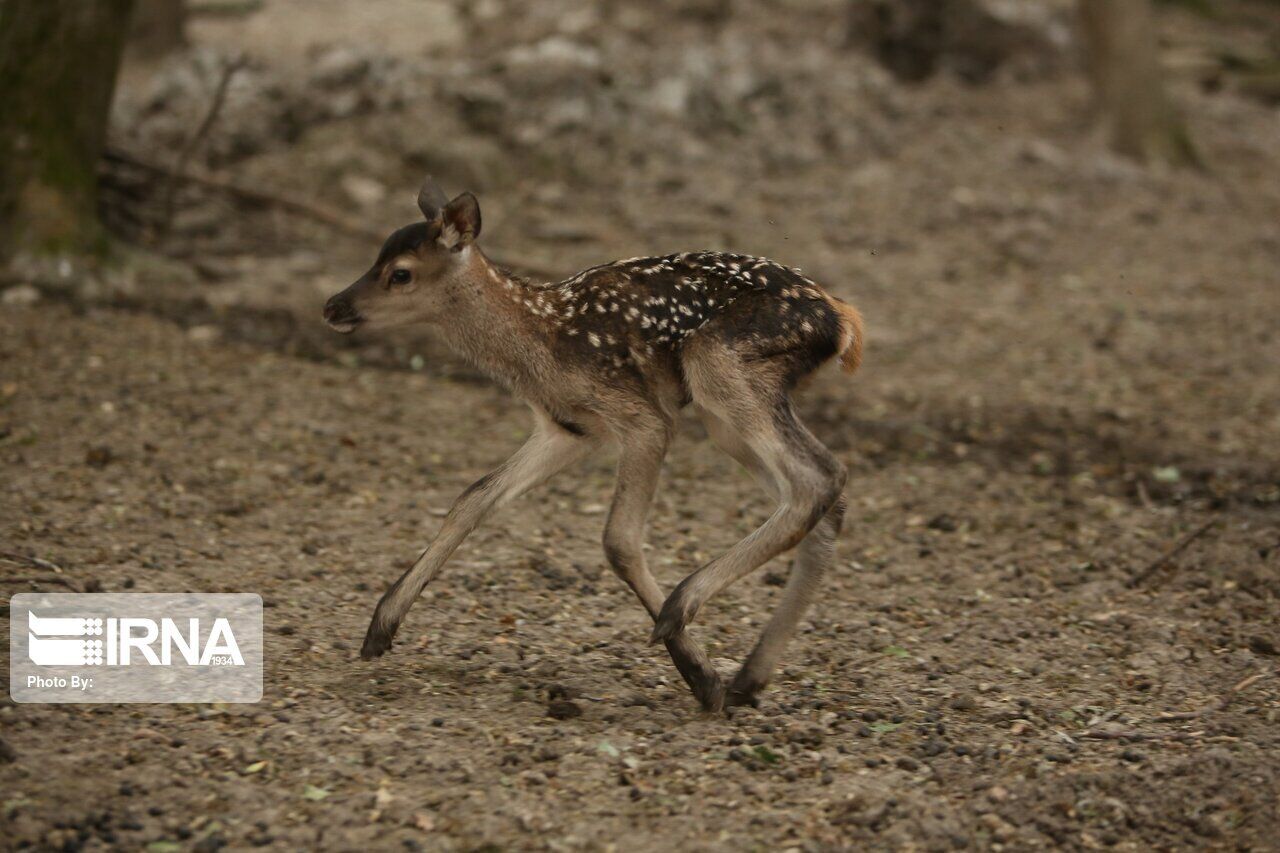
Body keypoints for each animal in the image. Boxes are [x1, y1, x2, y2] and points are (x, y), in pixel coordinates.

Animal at [325, 175, 865, 706]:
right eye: (376, 256)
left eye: (400, 273)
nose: (333, 306)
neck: (540, 346)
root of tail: (843, 320)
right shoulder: (569, 428)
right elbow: (473, 497)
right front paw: (380, 627)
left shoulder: (641, 417)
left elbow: (618, 540)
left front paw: (699, 673)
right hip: (725, 414)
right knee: (824, 499)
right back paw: (749, 678)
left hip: (718, 363)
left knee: (820, 477)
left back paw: (684, 613)